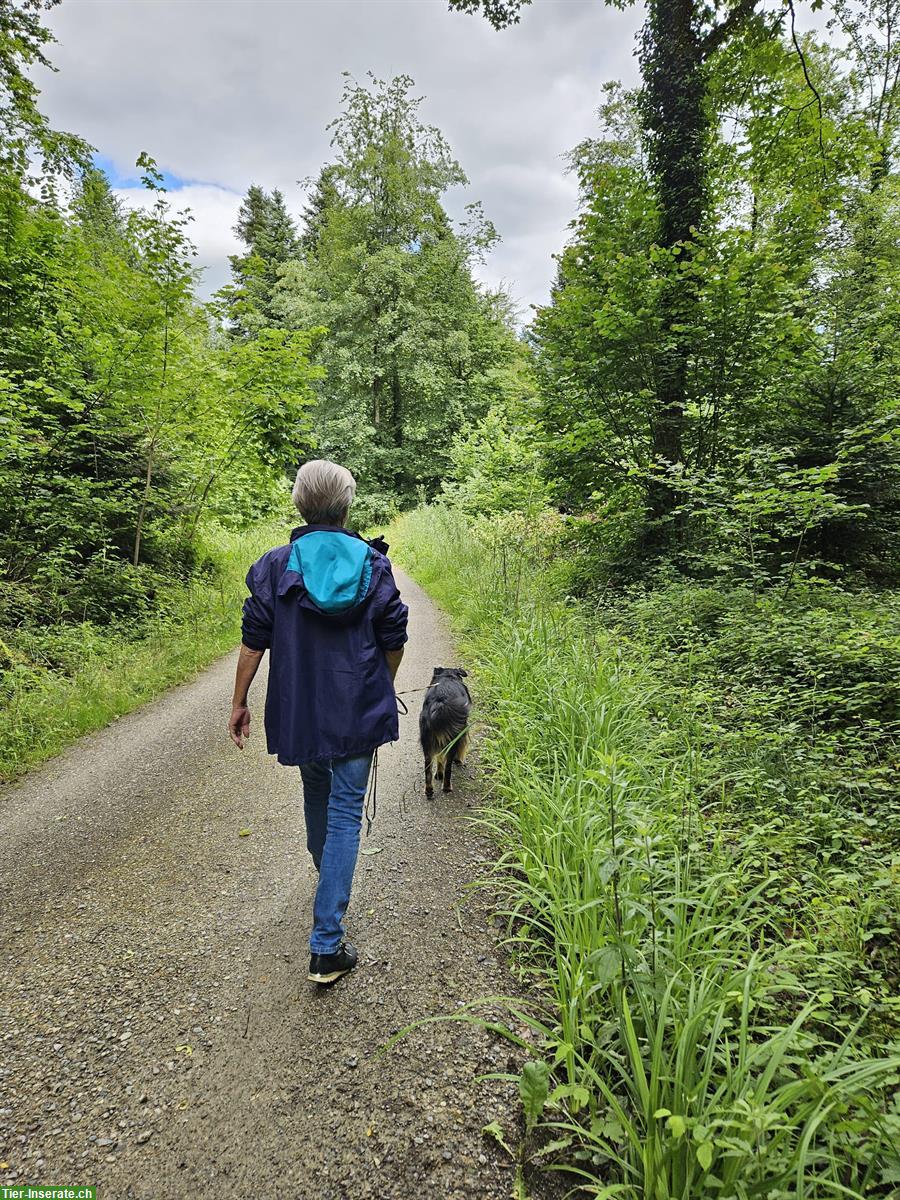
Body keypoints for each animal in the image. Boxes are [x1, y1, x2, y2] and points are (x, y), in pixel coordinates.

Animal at [422, 667, 472, 796]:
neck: (447, 676)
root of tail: (441, 702)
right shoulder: (462, 729)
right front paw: (459, 760)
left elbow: (439, 757)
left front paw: (439, 774)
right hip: (452, 740)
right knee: (448, 767)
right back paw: (447, 787)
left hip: (427, 743)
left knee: (428, 768)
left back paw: (429, 790)